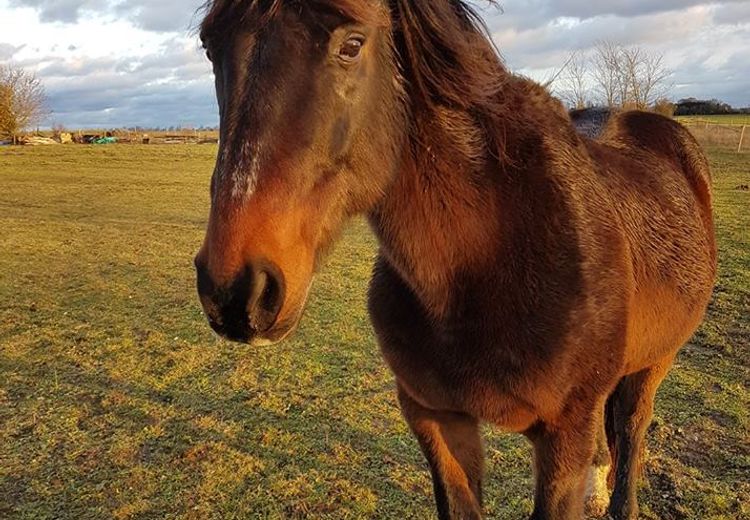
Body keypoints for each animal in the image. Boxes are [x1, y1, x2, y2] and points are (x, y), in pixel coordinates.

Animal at [192, 2, 716, 516]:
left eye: (352, 45)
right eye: (211, 47)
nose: (238, 291)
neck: (482, 263)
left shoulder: (565, 435)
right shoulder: (435, 418)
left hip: (656, 359)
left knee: (630, 430)